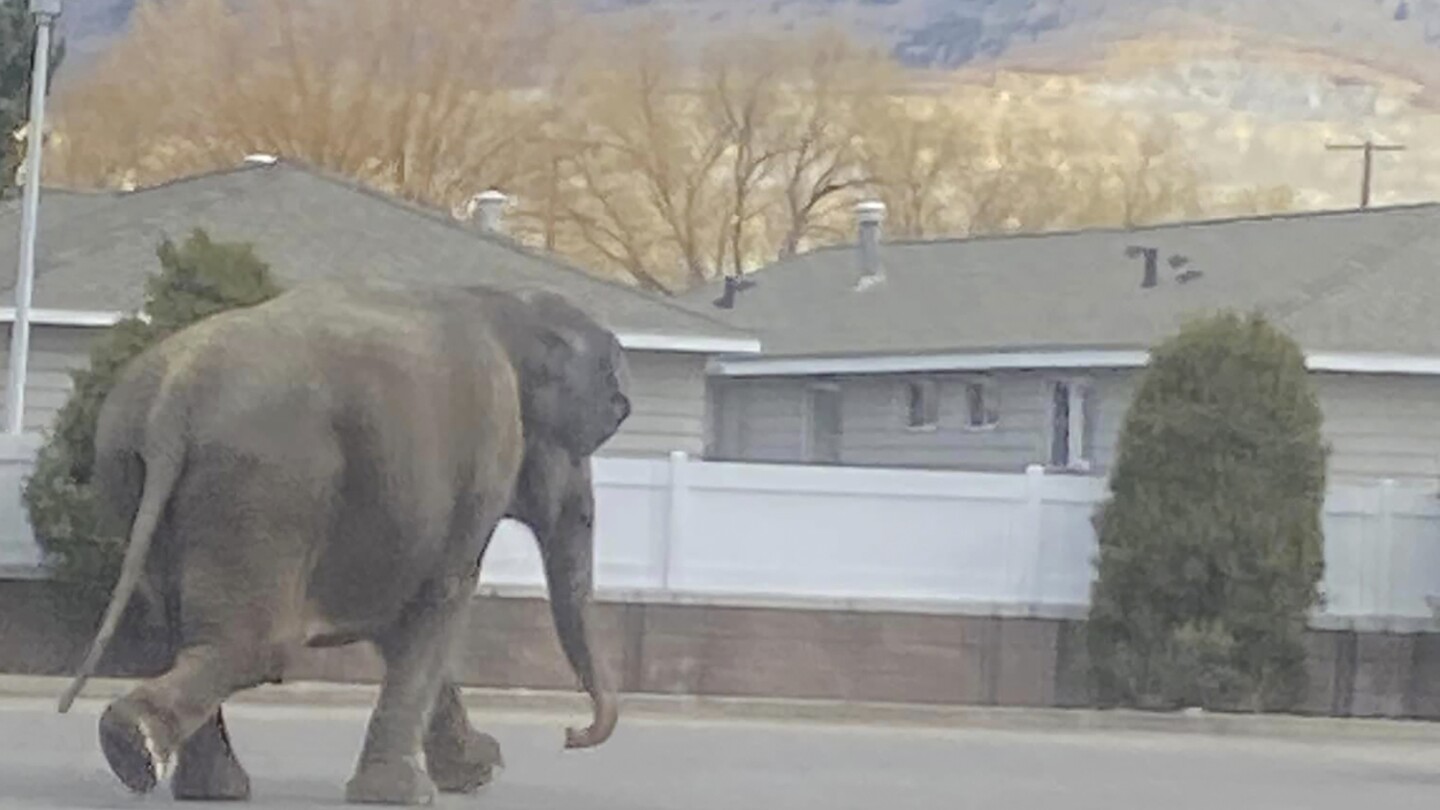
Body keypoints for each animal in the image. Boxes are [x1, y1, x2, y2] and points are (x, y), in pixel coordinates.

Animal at [53, 277, 632, 805]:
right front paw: (406, 794)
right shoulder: (484, 457)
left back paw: (203, 785)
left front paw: (473, 771)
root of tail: (176, 396)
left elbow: (399, 622)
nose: (570, 735)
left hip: (134, 478)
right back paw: (135, 745)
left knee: (182, 633)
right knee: (253, 646)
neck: (505, 303)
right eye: (584, 447)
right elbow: (442, 598)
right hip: (270, 483)